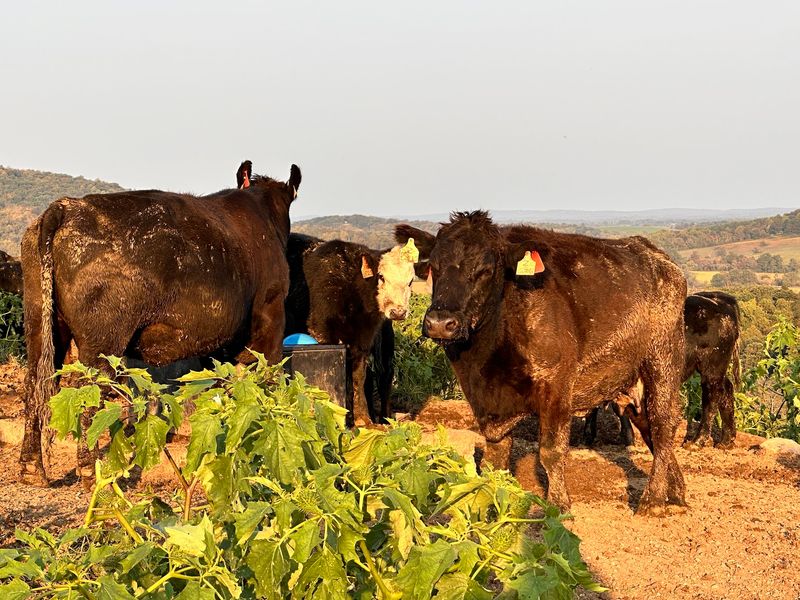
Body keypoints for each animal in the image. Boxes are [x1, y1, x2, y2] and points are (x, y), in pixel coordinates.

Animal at [19, 161, 301, 486]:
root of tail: (69, 206)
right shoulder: (271, 323)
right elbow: (269, 383)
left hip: (41, 326)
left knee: (35, 386)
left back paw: (31, 469)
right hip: (102, 342)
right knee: (87, 392)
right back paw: (92, 472)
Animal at [283, 233, 416, 426]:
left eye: (411, 281)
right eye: (381, 277)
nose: (398, 312)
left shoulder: (363, 342)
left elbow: (358, 378)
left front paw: (363, 420)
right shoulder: (322, 334)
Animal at [396, 211, 687, 515]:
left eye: (486, 269)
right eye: (433, 266)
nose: (441, 323)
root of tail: (657, 256)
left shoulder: (556, 384)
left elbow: (550, 450)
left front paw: (557, 505)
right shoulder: (484, 399)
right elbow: (495, 454)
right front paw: (491, 498)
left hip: (663, 360)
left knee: (663, 425)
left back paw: (654, 500)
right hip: (629, 379)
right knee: (649, 428)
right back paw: (676, 491)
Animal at [583, 291, 741, 449]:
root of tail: (721, 299)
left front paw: (628, 439)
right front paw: (588, 437)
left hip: (712, 366)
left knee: (712, 397)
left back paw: (697, 441)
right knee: (726, 389)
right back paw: (726, 441)